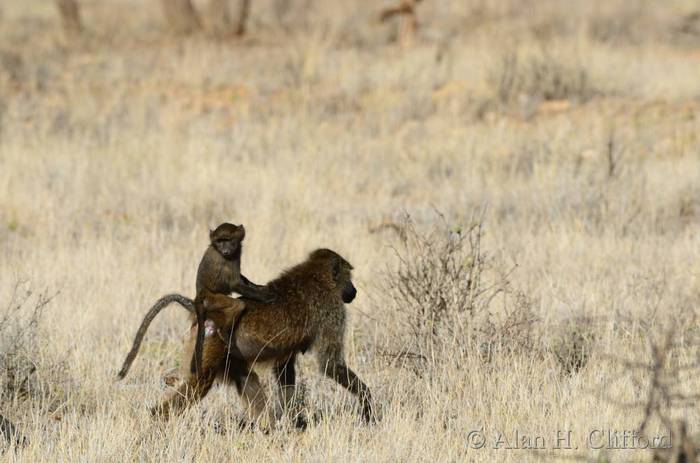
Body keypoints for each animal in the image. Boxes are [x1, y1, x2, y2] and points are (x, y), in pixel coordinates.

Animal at [116, 223, 274, 380]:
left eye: (228, 240)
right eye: (220, 241)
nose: (225, 250)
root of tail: (197, 299)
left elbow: (242, 279)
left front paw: (259, 287)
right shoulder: (225, 262)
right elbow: (235, 283)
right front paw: (266, 296)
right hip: (212, 300)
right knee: (238, 305)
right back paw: (226, 335)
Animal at [149, 248, 374, 427]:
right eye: (349, 276)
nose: (354, 291)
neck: (317, 276)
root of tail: (202, 309)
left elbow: (285, 371)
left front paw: (290, 419)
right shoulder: (332, 310)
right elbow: (331, 364)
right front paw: (369, 407)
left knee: (245, 378)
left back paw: (269, 427)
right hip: (210, 341)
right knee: (200, 383)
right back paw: (156, 419)